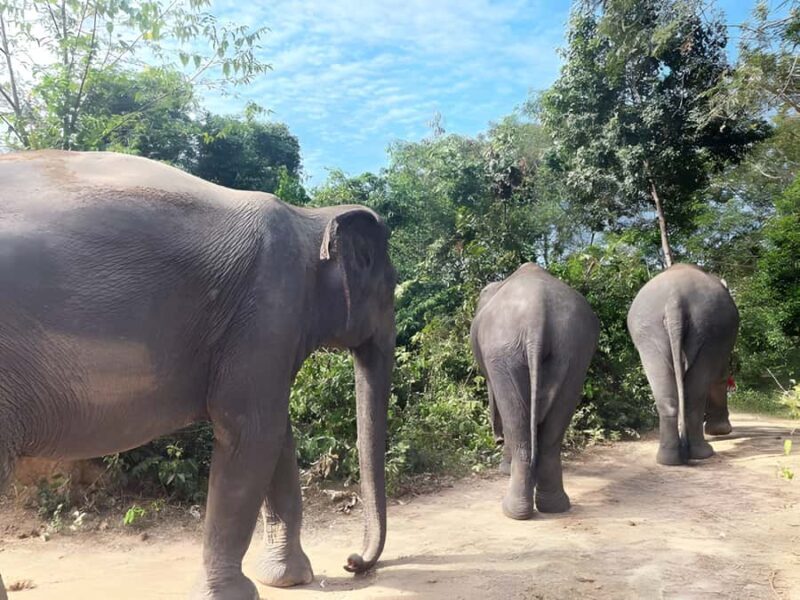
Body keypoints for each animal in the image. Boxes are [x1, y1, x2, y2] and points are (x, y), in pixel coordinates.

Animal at [0, 150, 396, 600]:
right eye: (392, 289)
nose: (352, 562)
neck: (311, 219)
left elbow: (276, 435)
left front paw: (288, 579)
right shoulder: (266, 311)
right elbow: (251, 433)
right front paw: (233, 595)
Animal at [470, 263, 599, 520]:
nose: (496, 439)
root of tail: (536, 317)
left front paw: (503, 469)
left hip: (502, 352)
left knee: (515, 419)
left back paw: (513, 511)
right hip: (573, 350)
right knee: (553, 430)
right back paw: (554, 506)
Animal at [627, 263, 738, 466]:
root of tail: (675, 299)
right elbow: (719, 376)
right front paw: (720, 431)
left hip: (649, 333)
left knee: (667, 397)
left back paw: (669, 458)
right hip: (708, 330)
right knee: (695, 394)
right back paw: (702, 453)